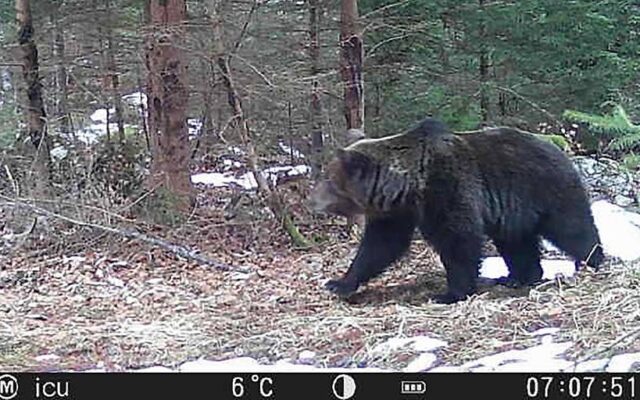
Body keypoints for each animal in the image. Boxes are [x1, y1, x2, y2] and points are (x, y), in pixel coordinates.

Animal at [310, 117, 604, 304]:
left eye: (329, 179)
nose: (312, 201)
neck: (408, 187)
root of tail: (558, 148)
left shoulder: (447, 188)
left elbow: (458, 238)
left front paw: (450, 293)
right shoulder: (397, 213)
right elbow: (380, 246)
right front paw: (339, 283)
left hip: (545, 188)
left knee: (571, 227)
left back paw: (591, 261)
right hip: (513, 212)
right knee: (516, 242)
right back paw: (517, 277)